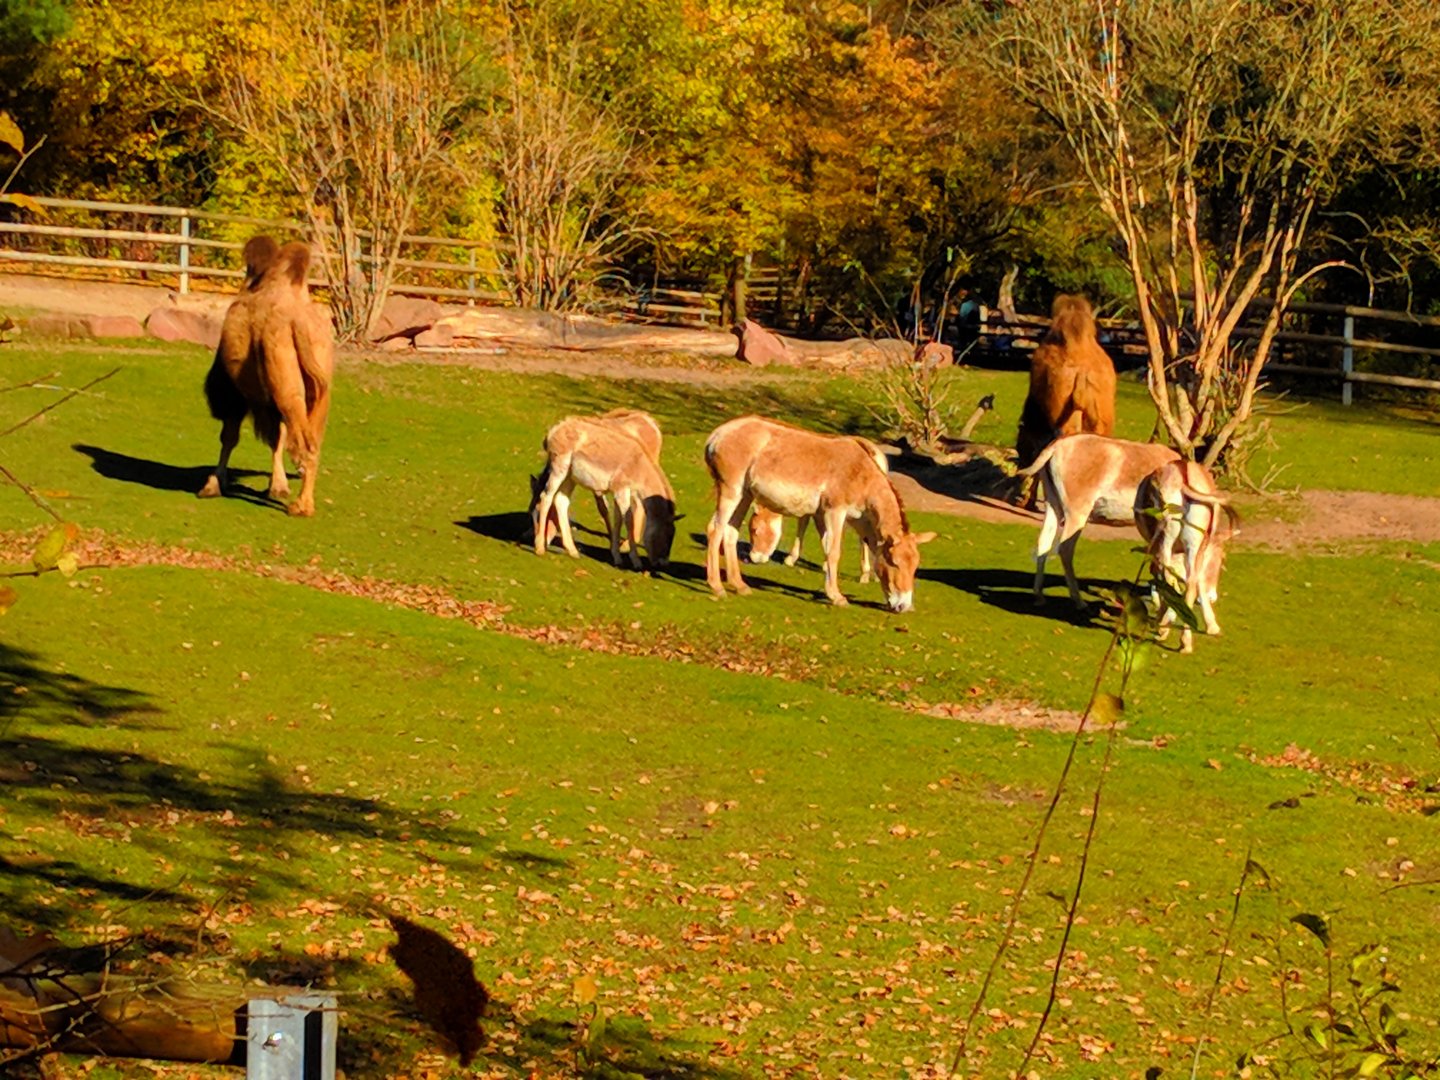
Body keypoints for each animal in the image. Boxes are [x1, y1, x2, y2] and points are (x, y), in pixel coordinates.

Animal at [198, 235, 333, 516]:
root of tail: (296, 323)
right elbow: (276, 438)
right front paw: (278, 486)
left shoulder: (235, 393)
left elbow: (229, 436)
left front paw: (212, 484)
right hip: (320, 387)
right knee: (312, 440)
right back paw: (303, 502)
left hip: (285, 388)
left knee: (303, 442)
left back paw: (300, 505)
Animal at [704, 416, 935, 612]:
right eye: (895, 562)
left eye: (915, 566)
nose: (904, 606)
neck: (861, 473)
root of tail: (718, 434)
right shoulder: (835, 511)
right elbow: (833, 552)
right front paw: (838, 597)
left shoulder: (830, 515)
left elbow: (829, 547)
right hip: (731, 490)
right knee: (715, 529)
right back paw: (717, 586)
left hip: (745, 495)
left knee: (730, 531)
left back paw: (739, 585)